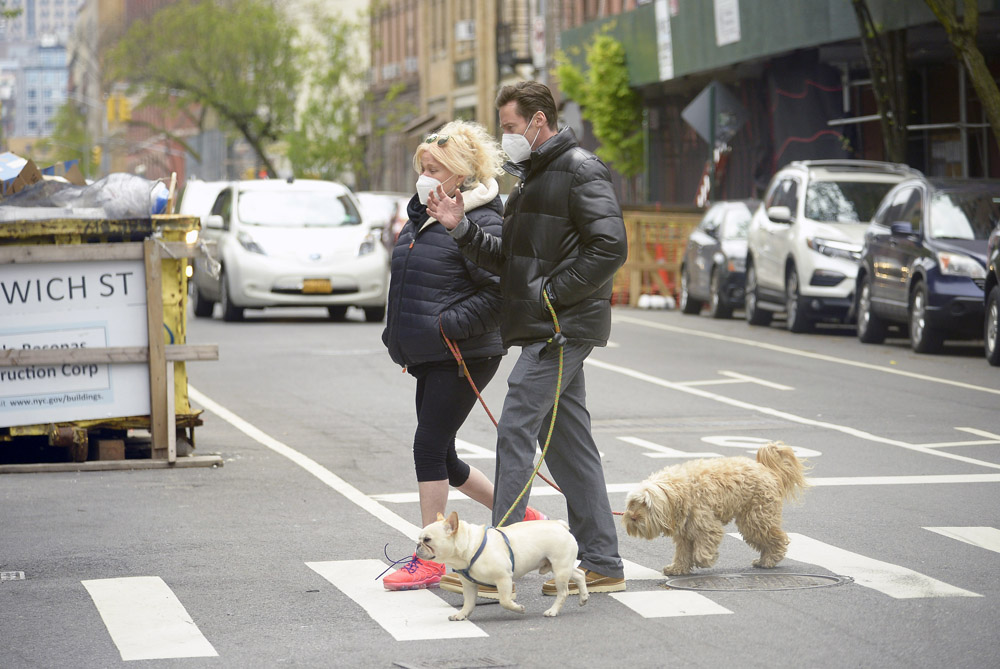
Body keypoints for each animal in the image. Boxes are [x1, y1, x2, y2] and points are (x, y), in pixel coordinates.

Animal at [620, 444, 808, 576]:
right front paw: (678, 568)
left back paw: (770, 559)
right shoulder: (685, 532)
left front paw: (706, 560)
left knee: (777, 538)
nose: (633, 517)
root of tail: (767, 470)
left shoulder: (707, 526)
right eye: (633, 503)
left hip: (755, 519)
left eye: (646, 504)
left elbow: (702, 550)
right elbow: (682, 553)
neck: (679, 490)